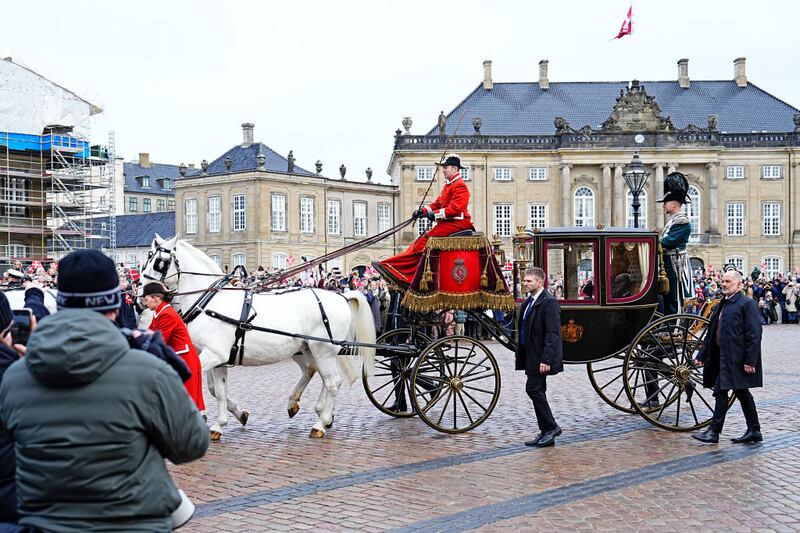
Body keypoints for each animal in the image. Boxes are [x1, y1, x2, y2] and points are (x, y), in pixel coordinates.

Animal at [141, 235, 378, 438]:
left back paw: (321, 423)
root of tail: (341, 296)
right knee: (316, 373)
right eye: (147, 259)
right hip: (307, 349)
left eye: (159, 262)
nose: (142, 292)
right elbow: (217, 390)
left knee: (332, 382)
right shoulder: (218, 359)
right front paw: (229, 419)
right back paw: (311, 409)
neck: (210, 302)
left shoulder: (214, 355)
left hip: (323, 350)